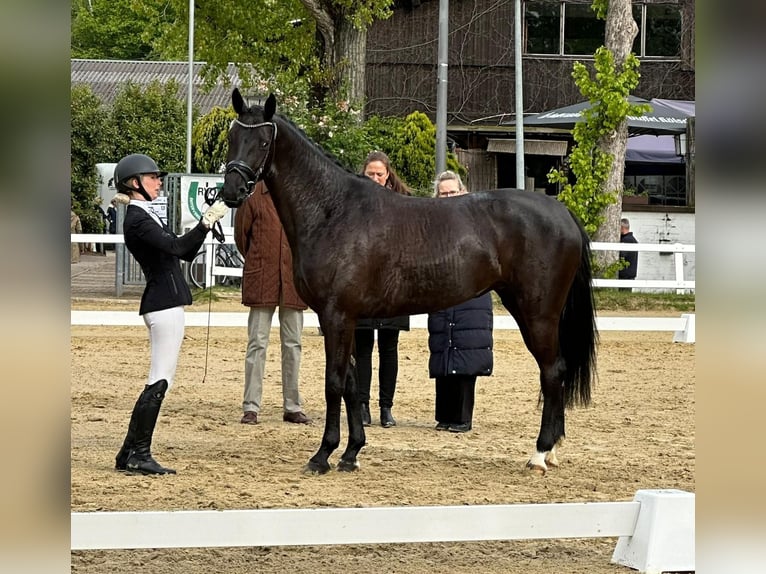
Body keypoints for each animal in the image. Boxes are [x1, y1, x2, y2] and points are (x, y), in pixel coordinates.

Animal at [222, 90, 600, 476]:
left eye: (263, 141)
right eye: (233, 137)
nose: (231, 191)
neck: (332, 211)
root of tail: (562, 213)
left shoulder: (336, 315)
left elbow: (334, 382)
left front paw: (323, 454)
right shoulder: (345, 320)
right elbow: (351, 383)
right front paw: (351, 452)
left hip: (537, 315)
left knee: (552, 372)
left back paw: (540, 453)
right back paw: (551, 451)